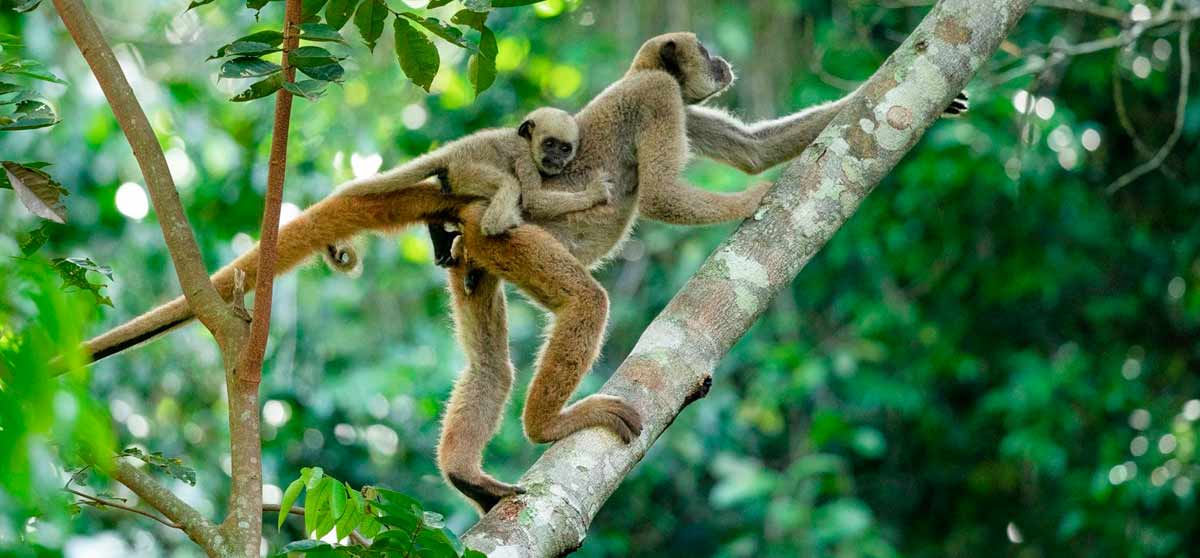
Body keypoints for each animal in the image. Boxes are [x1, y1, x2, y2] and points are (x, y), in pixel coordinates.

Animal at [324, 107, 609, 272]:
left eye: (565, 148)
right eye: (549, 144)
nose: (557, 159)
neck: (526, 142)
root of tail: (452, 152)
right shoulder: (524, 157)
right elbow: (534, 200)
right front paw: (593, 194)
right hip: (467, 172)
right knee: (510, 184)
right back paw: (496, 226)